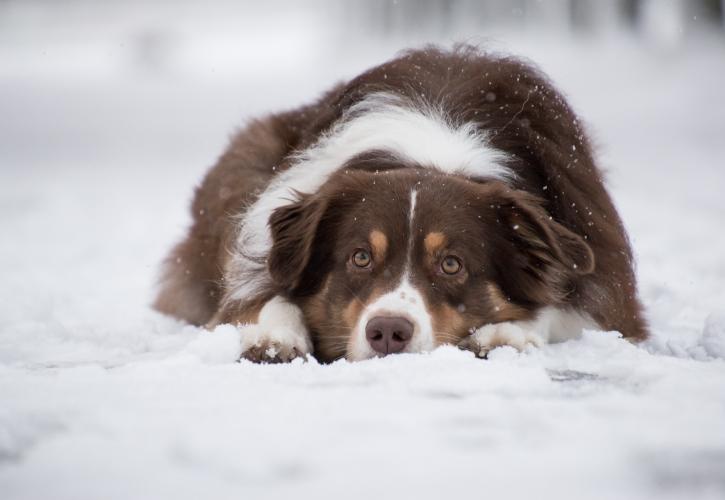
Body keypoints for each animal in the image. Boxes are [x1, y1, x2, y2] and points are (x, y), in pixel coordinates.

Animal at [153, 45, 644, 362]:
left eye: (452, 264)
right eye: (360, 257)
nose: (388, 332)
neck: (433, 153)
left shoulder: (607, 281)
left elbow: (565, 307)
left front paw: (507, 332)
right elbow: (263, 295)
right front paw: (274, 334)